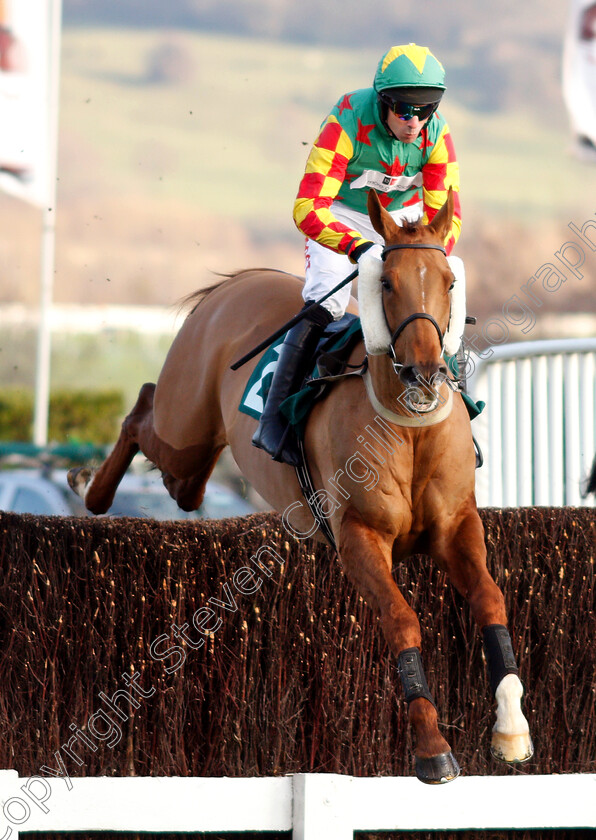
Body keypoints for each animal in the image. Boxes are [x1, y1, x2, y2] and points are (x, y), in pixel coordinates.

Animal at [67, 189, 532, 780]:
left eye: (449, 280)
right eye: (386, 282)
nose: (424, 374)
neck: (408, 425)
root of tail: (235, 285)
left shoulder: (456, 526)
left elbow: (491, 601)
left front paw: (512, 728)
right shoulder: (358, 535)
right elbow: (403, 620)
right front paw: (432, 747)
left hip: (193, 461)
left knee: (181, 479)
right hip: (184, 427)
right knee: (143, 411)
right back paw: (88, 486)